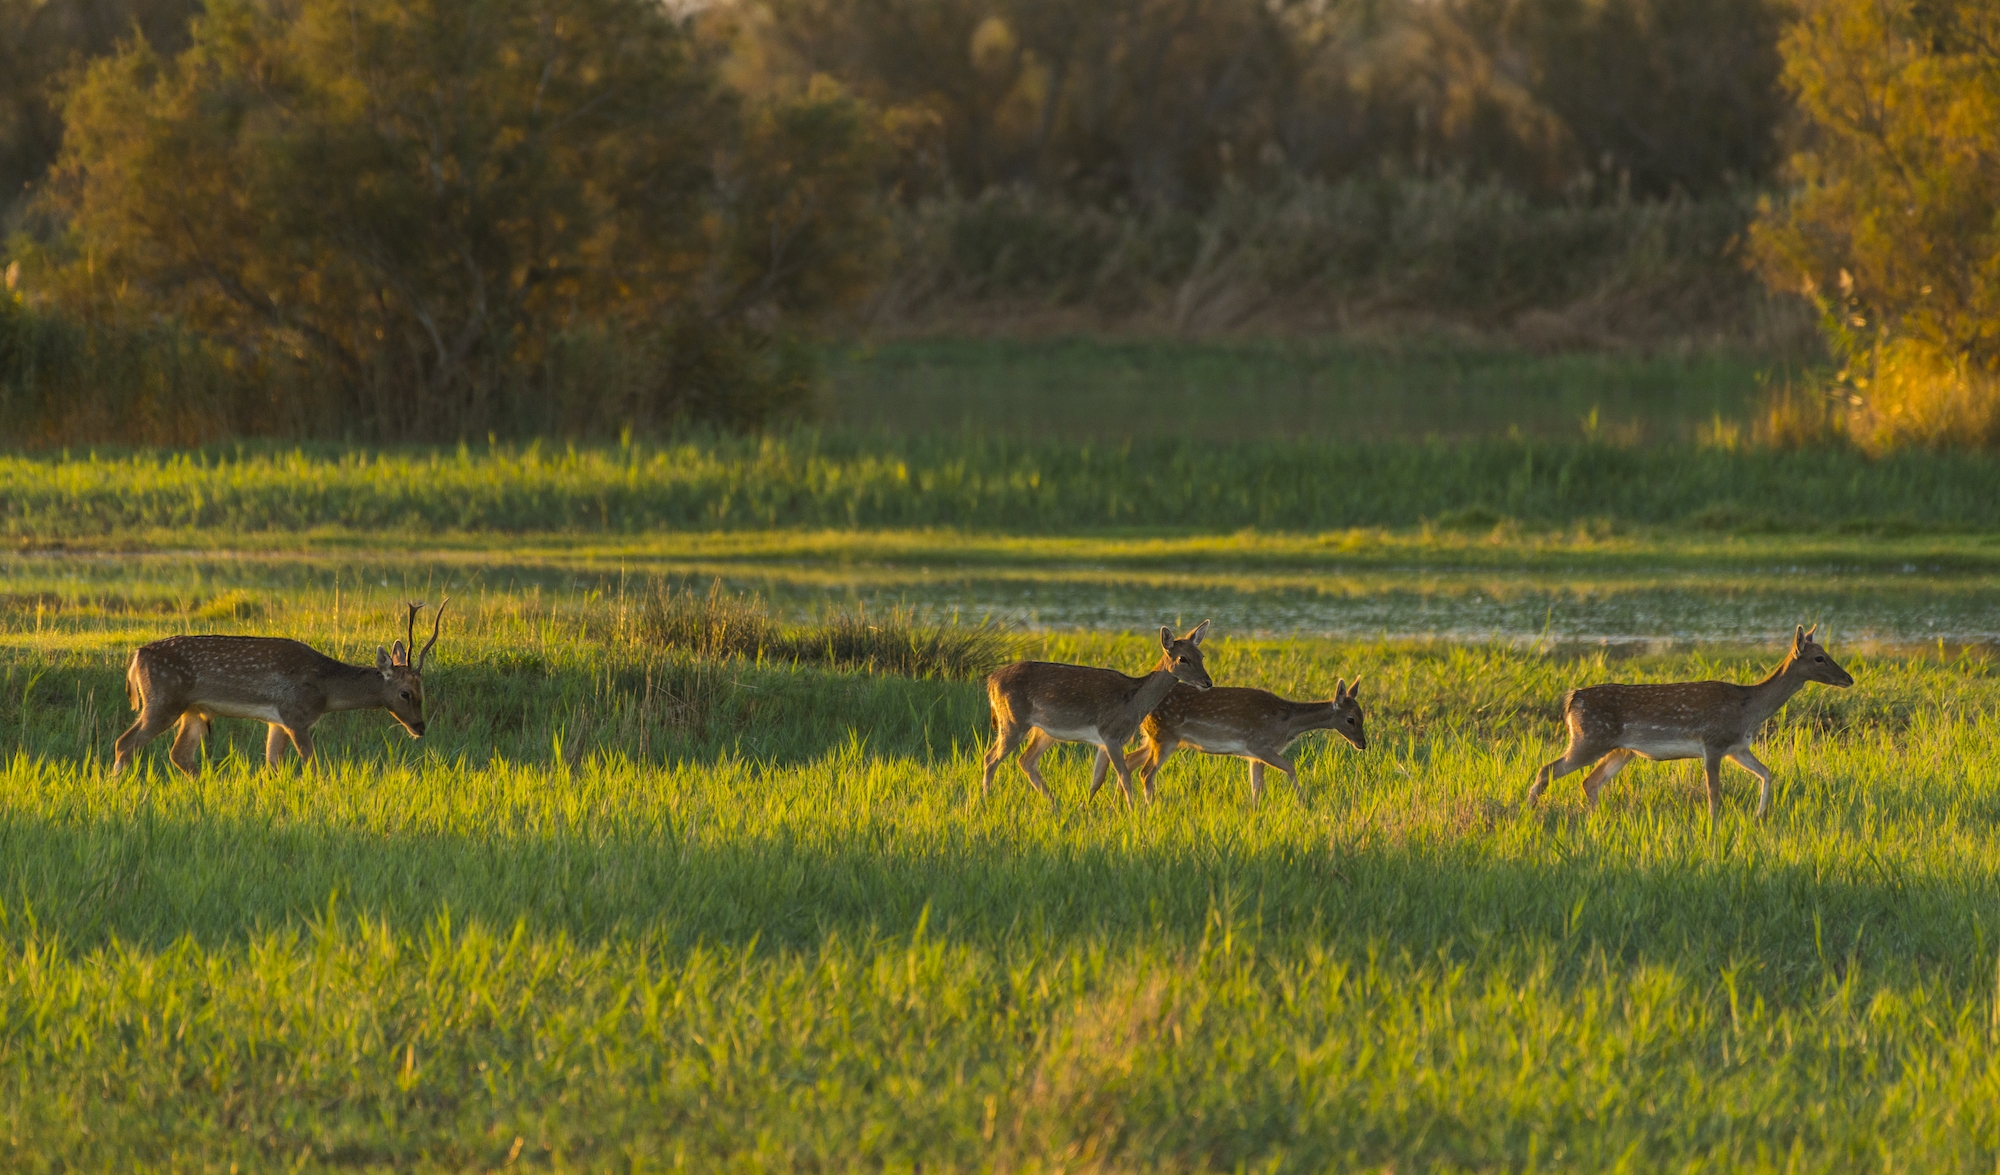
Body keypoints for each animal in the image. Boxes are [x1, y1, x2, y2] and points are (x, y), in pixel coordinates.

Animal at [114, 595, 454, 779]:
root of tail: (137, 655)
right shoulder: (296, 714)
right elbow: (314, 765)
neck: (325, 689)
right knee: (124, 742)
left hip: (193, 710)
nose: (420, 727)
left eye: (424, 691)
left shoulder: (277, 720)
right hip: (162, 700)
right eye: (405, 693)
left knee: (179, 755)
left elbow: (272, 765)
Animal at [976, 623, 1208, 807]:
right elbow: (1124, 776)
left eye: (1202, 656)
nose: (1208, 682)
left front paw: (1085, 808)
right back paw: (986, 800)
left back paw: (1054, 804)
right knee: (990, 758)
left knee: (1026, 760)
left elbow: (1097, 780)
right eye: (1183, 658)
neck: (1132, 703)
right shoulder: (1111, 734)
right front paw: (1132, 811)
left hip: (1044, 731)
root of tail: (990, 681)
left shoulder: (1104, 741)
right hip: (1012, 720)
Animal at [1120, 675, 1368, 803]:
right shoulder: (1258, 744)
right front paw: (1302, 803)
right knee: (1145, 772)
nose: (1363, 744)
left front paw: (1255, 814)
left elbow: (1256, 787)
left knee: (1128, 761)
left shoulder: (1254, 755)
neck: (1285, 722)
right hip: (1164, 737)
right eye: (1351, 719)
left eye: (1362, 715)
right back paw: (1149, 808)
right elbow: (1290, 767)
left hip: (1153, 738)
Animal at [1528, 619, 1856, 823]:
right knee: (1547, 770)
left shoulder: (1736, 747)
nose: (1849, 679)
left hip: (1622, 750)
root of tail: (1572, 699)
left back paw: (1596, 819)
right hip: (1589, 738)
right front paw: (1714, 824)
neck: (1748, 710)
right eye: (1819, 658)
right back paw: (1528, 814)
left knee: (1589, 781)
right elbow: (1714, 792)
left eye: (1826, 653)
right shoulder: (1712, 743)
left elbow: (1767, 773)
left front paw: (1758, 816)